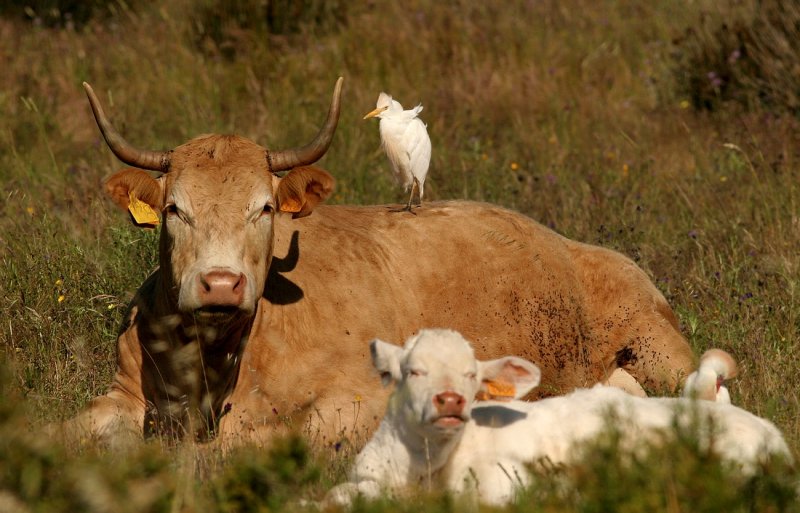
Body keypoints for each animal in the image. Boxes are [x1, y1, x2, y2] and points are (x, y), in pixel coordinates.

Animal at [64, 77, 692, 448]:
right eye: (175, 208)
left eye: (264, 208)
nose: (221, 284)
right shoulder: (122, 393)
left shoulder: (359, 400)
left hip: (662, 351)